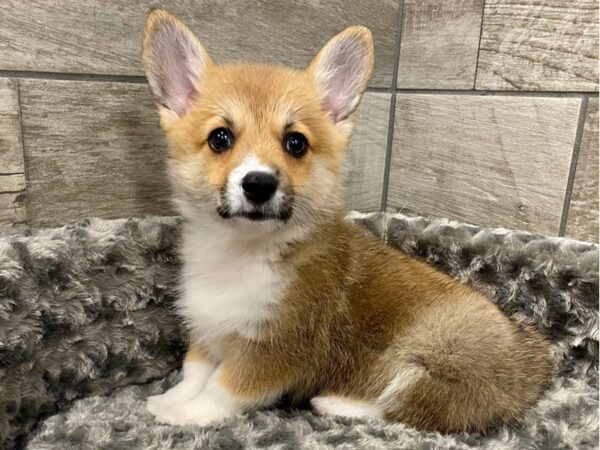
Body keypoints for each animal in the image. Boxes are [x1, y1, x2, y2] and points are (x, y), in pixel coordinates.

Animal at [142, 9, 552, 432]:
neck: (241, 250)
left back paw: (336, 404)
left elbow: (222, 389)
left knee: (412, 409)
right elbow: (194, 372)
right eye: (220, 138)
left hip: (434, 362)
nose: (259, 183)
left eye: (296, 143)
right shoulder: (206, 329)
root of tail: (528, 366)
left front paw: (186, 414)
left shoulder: (275, 348)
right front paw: (168, 399)